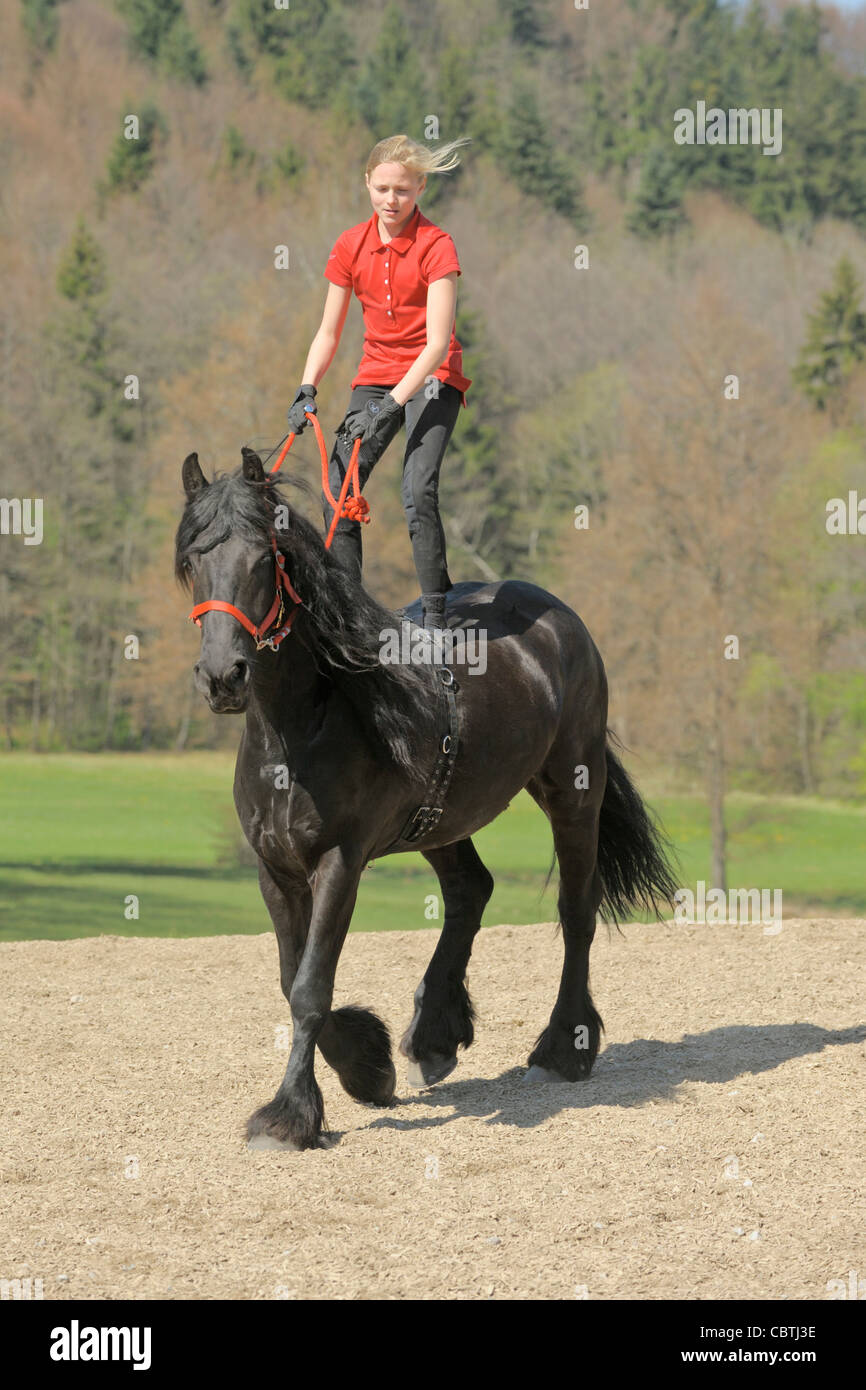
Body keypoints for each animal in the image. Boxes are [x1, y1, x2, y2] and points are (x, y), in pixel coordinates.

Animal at [175, 447, 678, 1150]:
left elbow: (309, 987)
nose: (223, 676)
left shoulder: (340, 862)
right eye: (194, 562)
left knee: (577, 911)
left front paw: (291, 1114)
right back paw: (435, 1037)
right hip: (441, 819)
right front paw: (367, 1065)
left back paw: (562, 1049)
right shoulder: (274, 869)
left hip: (572, 791)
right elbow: (289, 976)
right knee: (471, 890)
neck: (299, 730)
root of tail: (557, 614)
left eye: (261, 559)